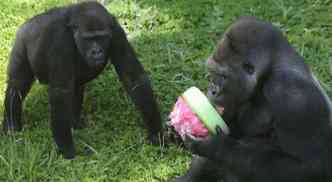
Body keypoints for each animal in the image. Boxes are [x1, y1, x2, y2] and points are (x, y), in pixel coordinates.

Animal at [2, 1, 163, 159]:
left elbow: (133, 78)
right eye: (89, 39)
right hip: (21, 40)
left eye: (101, 37)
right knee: (17, 86)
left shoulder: (116, 32)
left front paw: (156, 133)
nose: (96, 51)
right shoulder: (60, 39)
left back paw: (74, 123)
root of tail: (28, 23)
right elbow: (61, 91)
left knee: (76, 86)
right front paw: (67, 148)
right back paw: (12, 126)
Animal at [171, 16, 332, 181]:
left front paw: (214, 145)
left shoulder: (294, 96)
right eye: (211, 71)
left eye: (223, 76)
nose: (212, 90)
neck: (269, 70)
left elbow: (308, 167)